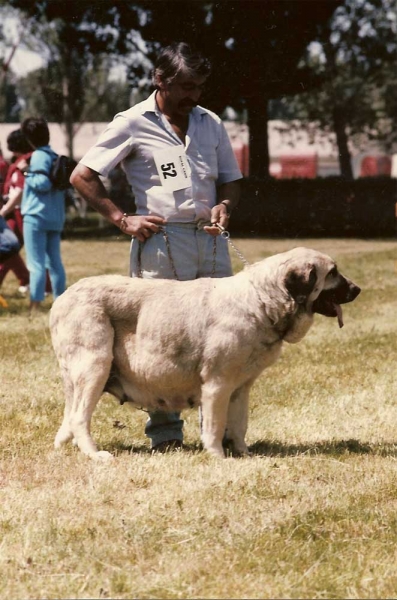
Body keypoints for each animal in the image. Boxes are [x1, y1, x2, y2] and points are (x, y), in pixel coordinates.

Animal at [48, 247, 358, 460]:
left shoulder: (241, 388)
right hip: (95, 366)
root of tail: (62, 298)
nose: (357, 289)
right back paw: (95, 455)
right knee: (79, 417)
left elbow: (239, 424)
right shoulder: (217, 385)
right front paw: (219, 458)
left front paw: (245, 455)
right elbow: (215, 425)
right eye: (332, 273)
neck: (260, 302)